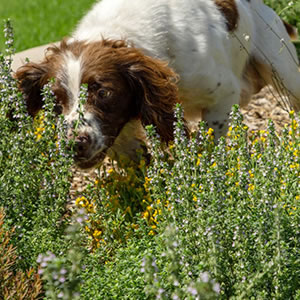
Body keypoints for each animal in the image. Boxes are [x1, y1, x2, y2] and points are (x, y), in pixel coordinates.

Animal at [15, 0, 300, 169]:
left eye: (103, 92)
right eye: (55, 100)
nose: (74, 145)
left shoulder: (222, 95)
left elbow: (207, 147)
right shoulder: (123, 128)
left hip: (285, 73)